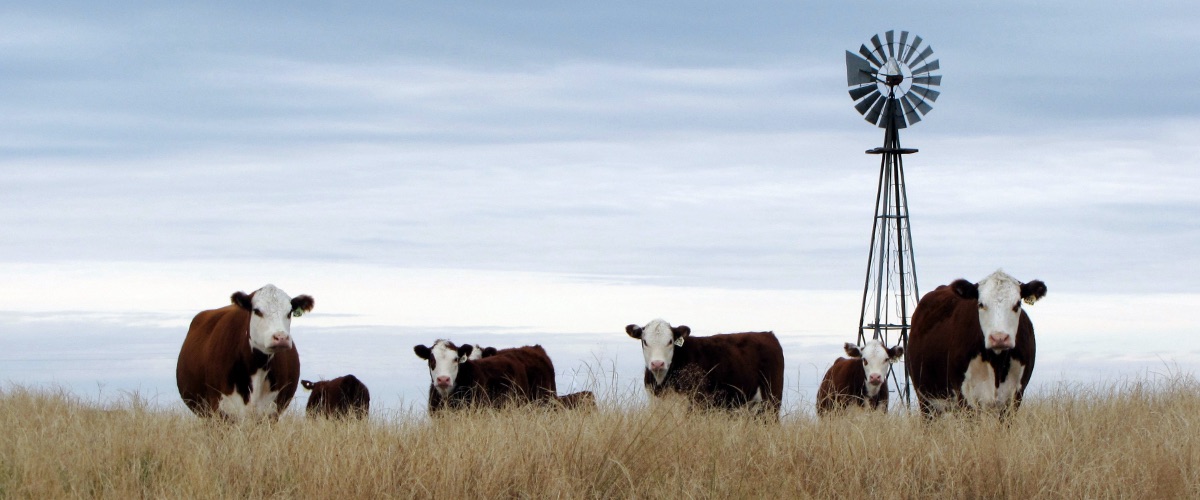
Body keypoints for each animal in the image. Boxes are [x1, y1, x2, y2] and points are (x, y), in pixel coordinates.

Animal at [175, 282, 314, 419]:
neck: (257, 368)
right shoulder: (222, 410)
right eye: (257, 311)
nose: (281, 337)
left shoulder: (270, 412)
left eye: (289, 312)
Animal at [628, 316, 787, 419]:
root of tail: (767, 334)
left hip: (772, 399)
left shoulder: (695, 402)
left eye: (670, 341)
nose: (657, 363)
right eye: (645, 341)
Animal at [902, 268, 1046, 417]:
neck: (996, 363)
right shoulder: (965, 397)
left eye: (1017, 304)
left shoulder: (1014, 397)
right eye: (981, 304)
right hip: (927, 402)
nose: (999, 338)